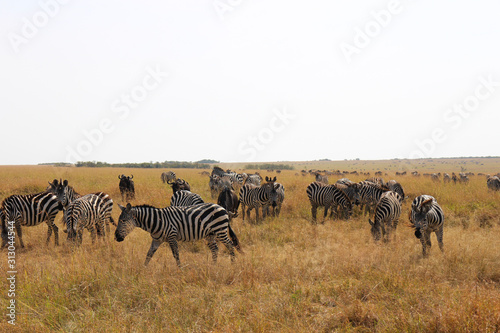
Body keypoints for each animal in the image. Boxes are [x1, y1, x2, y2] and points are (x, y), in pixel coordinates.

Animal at [115, 201, 244, 266]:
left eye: (123, 221)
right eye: (119, 220)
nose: (116, 237)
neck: (156, 221)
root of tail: (222, 208)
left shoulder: (172, 237)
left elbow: (176, 254)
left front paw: (180, 269)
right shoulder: (156, 240)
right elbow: (149, 254)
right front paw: (143, 269)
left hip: (220, 230)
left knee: (230, 245)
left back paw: (233, 264)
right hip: (210, 234)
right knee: (215, 249)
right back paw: (213, 266)